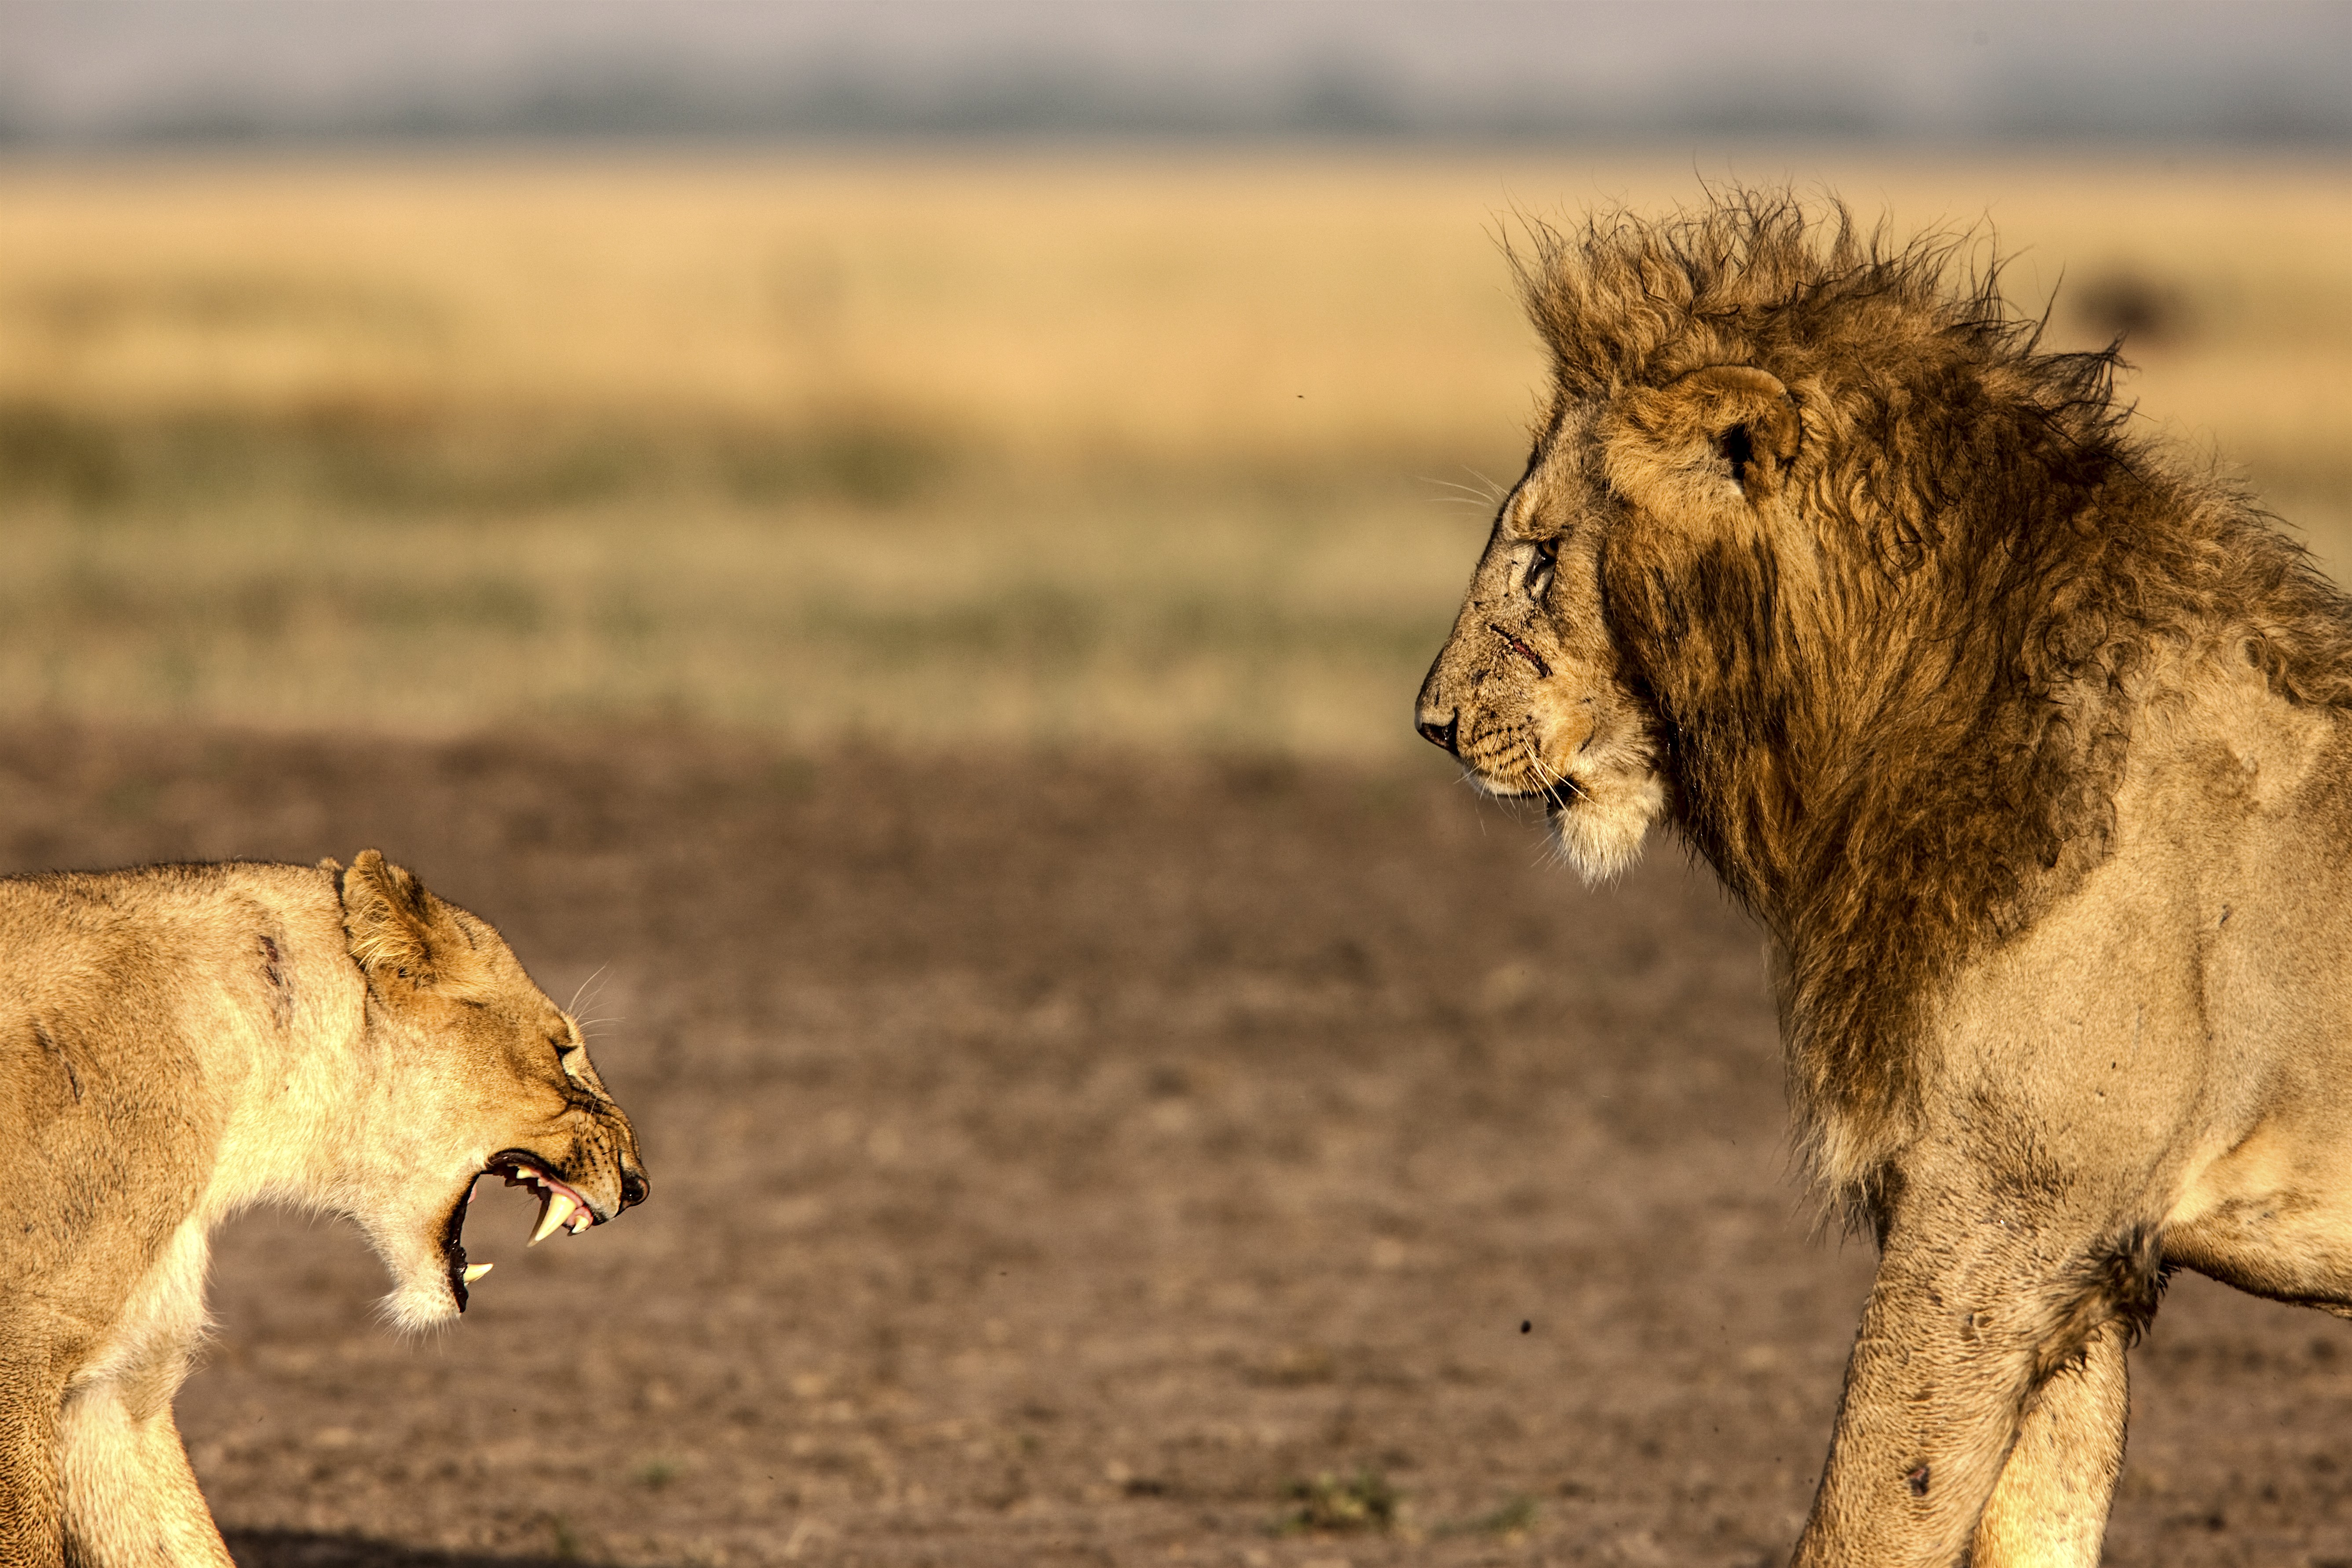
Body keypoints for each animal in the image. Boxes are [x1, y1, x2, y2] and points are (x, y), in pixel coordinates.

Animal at [1411, 200, 2352, 1568]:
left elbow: (1867, 1516)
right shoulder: (2086, 1260)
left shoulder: (2000, 1214)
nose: (1429, 724)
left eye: (1539, 558)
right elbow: (2026, 1525)